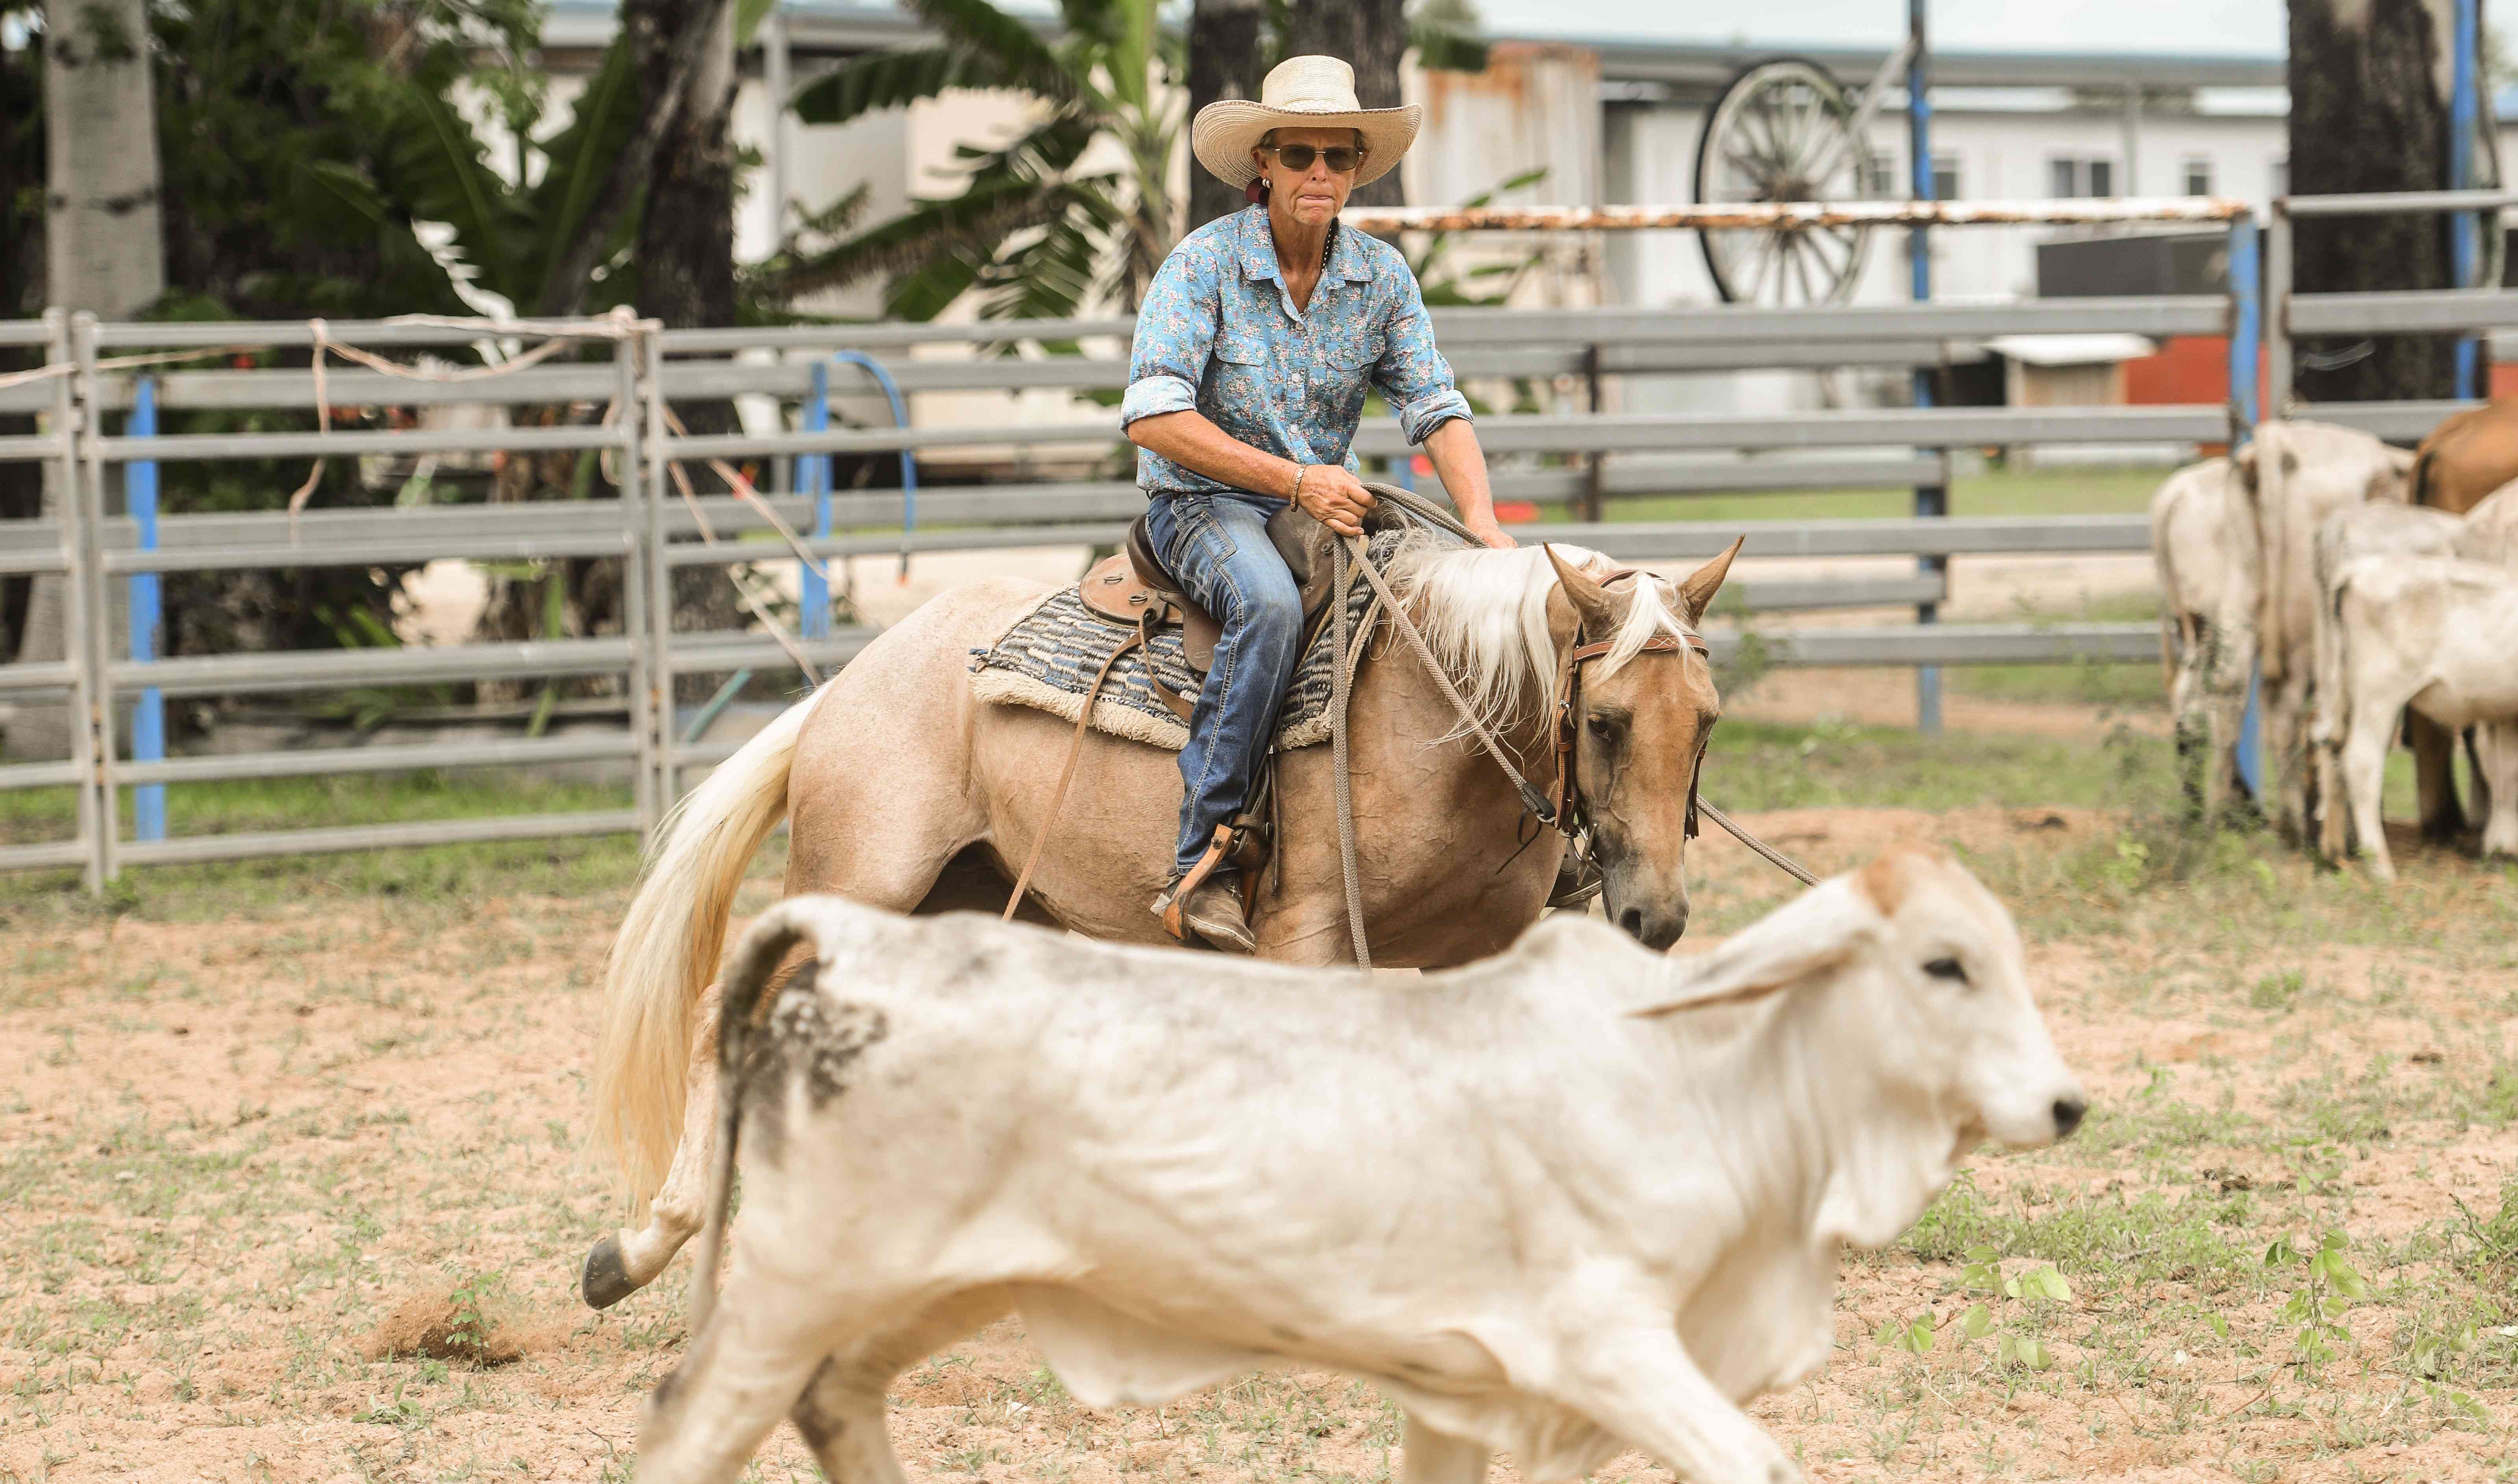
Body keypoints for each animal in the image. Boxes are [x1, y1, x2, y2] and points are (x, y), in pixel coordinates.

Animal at [579, 533, 1744, 1311]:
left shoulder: (1489, 946)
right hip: (854, 879)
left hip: (961, 898)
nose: (1653, 913)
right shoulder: (1307, 942)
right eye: (1605, 721)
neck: (1435, 710)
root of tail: (852, 682)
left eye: (1704, 722)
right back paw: (638, 1251)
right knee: (721, 1021)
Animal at [636, 846, 2088, 1484]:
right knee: (689, 1420)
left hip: (930, 1285)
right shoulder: (1605, 1347)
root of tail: (855, 939)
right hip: (792, 1285)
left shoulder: (1467, 1388)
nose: (2065, 1103)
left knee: (834, 1401)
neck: (1704, 1077)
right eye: (1942, 964)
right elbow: (1756, 1463)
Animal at [2151, 457, 2257, 820]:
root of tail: (2174, 495)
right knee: (2225, 694)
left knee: (2189, 702)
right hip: (2225, 622)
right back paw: (2222, 808)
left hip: (2192, 624)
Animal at [2315, 554, 2518, 882]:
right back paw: (2380, 868)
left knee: (2330, 750)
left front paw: (2502, 850)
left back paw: (2333, 856)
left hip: (2341, 688)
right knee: (2361, 762)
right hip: (2379, 692)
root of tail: (2359, 569)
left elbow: (2505, 772)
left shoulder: (2505, 713)